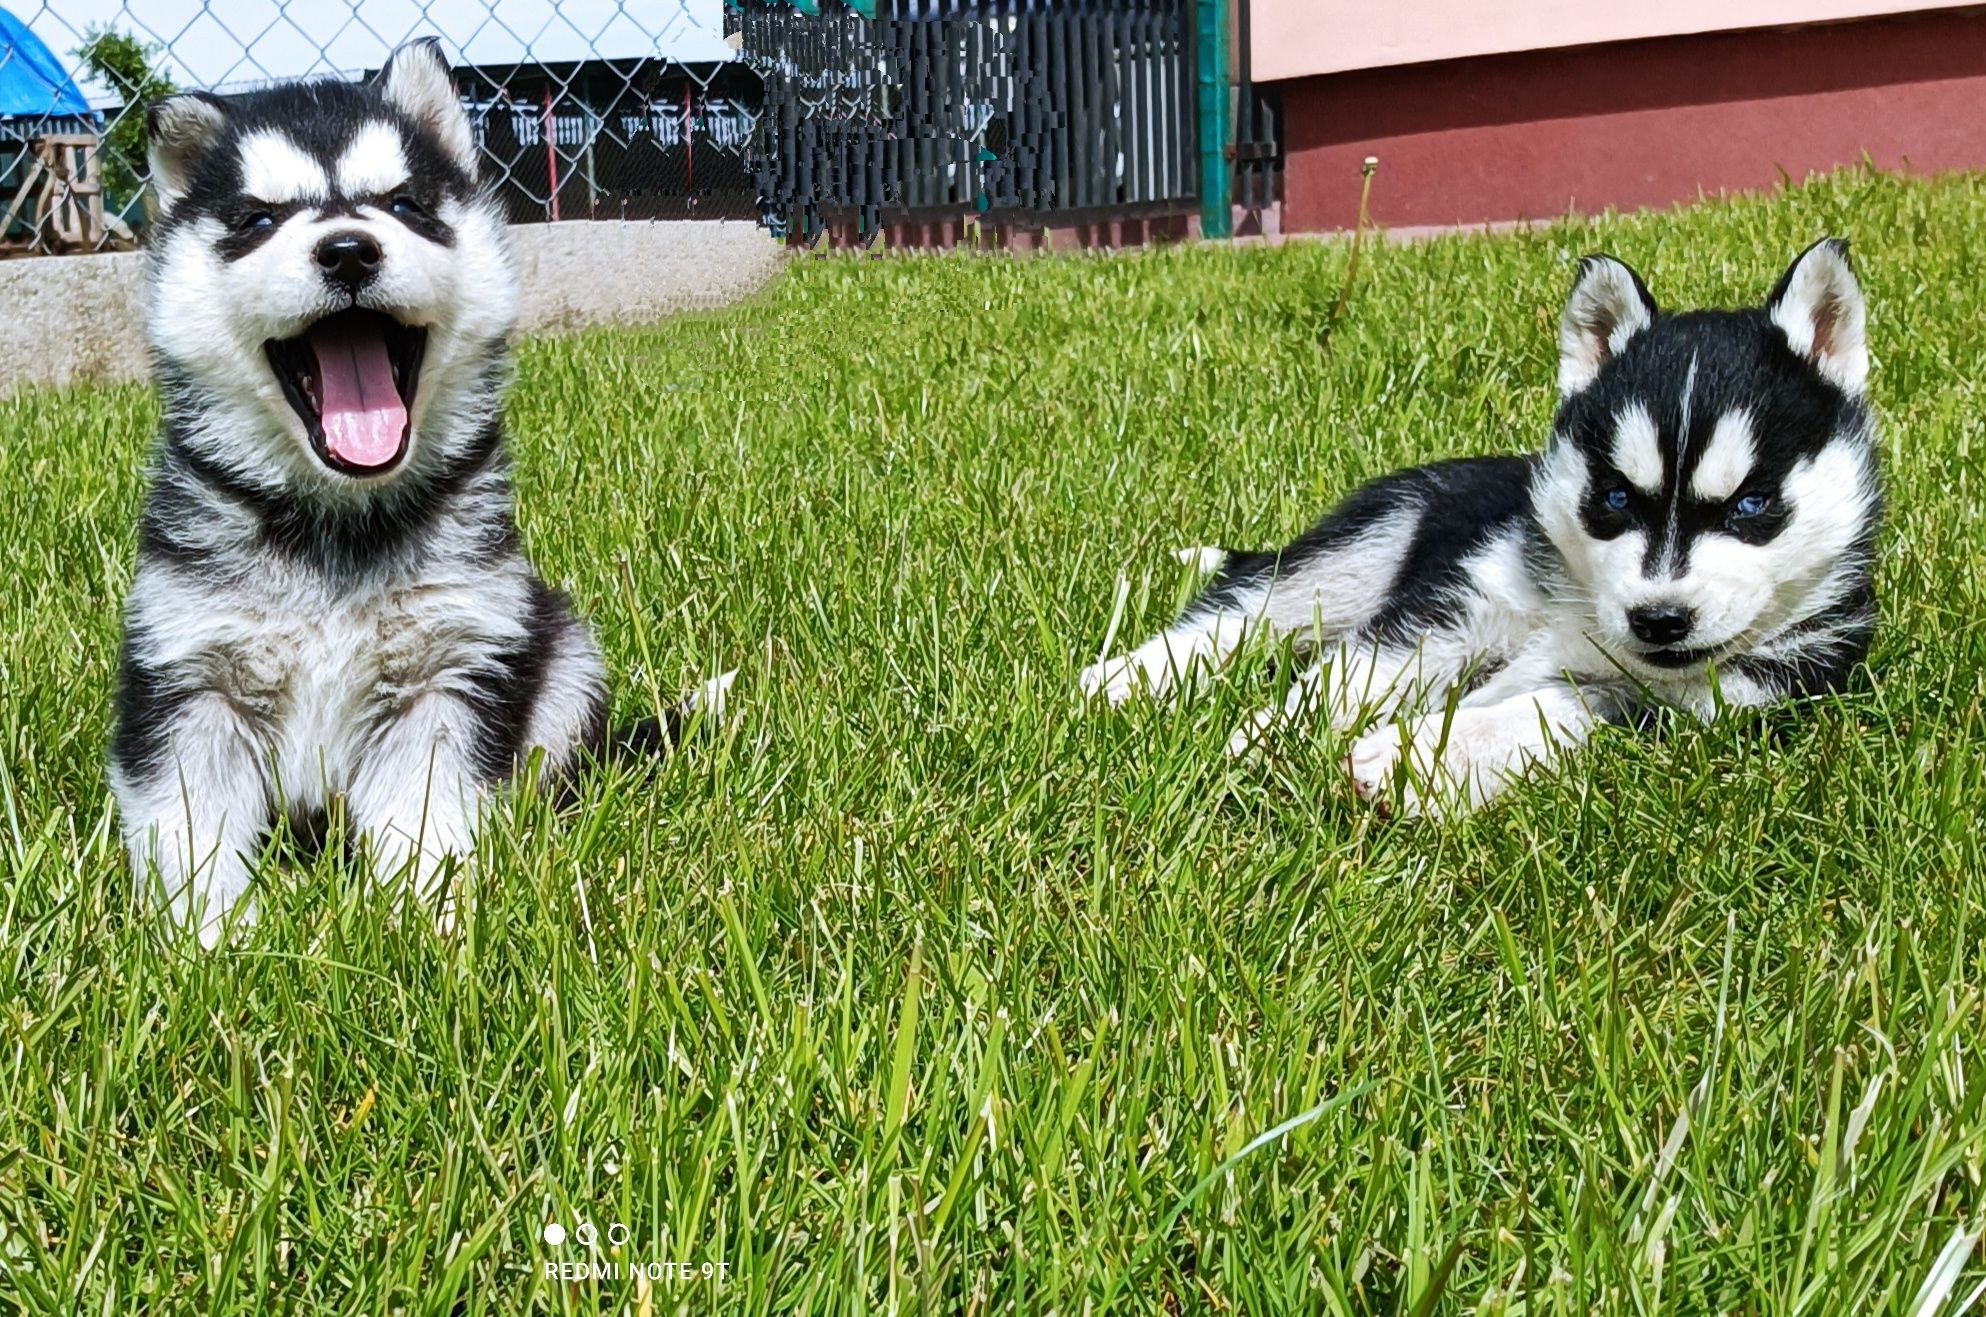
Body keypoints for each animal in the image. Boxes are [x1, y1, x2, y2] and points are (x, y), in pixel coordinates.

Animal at [110, 41, 730, 941]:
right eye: (259, 220)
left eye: (403, 205)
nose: (347, 250)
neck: (336, 516)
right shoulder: (189, 674)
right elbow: (190, 827)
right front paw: (209, 940)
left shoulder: (450, 668)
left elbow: (424, 814)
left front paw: (421, 927)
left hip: (561, 652)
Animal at [1088, 238, 1874, 814]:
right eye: (1615, 498)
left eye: (1751, 505)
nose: (1659, 619)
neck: (1581, 604)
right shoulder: (1456, 606)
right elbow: (1350, 674)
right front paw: (1272, 735)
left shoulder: (1711, 704)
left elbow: (1555, 708)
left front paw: (1412, 757)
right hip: (1363, 547)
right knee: (1248, 608)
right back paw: (1127, 680)